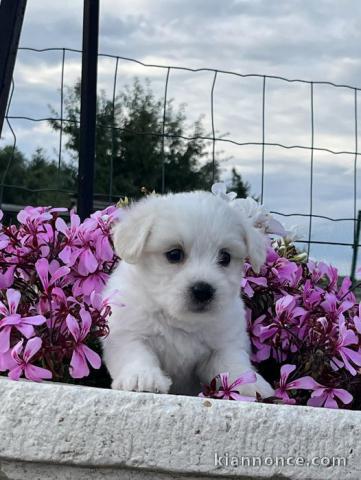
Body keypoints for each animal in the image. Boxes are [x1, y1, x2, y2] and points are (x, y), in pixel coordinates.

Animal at [101, 191, 272, 398]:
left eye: (225, 257)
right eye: (174, 254)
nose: (203, 290)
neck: (180, 319)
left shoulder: (223, 345)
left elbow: (232, 362)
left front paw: (252, 384)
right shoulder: (127, 333)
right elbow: (136, 354)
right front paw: (142, 377)